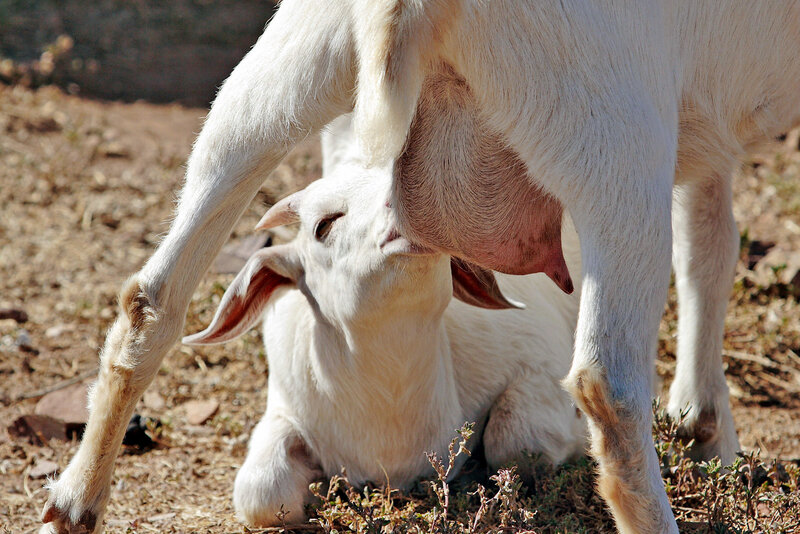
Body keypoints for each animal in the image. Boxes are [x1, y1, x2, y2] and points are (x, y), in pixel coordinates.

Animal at [42, 2, 800, 533]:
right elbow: (708, 240)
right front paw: (706, 429)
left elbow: (707, 238)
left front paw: (705, 426)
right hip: (611, 128)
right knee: (604, 387)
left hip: (282, 73)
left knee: (152, 296)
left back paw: (74, 504)